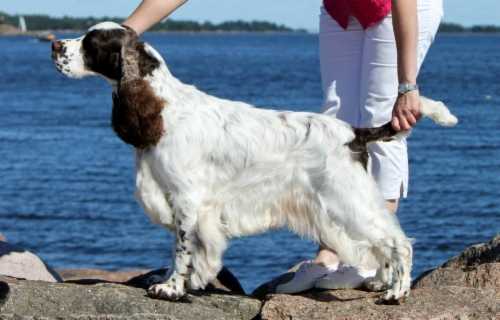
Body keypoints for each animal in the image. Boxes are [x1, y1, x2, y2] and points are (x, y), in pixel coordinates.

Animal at [50, 22, 458, 302]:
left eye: (91, 42)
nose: (54, 44)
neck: (161, 108)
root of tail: (352, 132)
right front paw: (177, 281)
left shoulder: (188, 200)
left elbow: (182, 249)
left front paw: (172, 287)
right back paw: (378, 281)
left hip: (346, 199)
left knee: (396, 241)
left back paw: (396, 291)